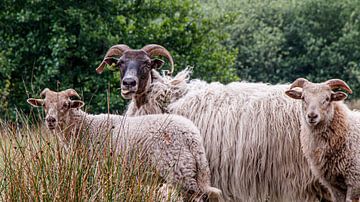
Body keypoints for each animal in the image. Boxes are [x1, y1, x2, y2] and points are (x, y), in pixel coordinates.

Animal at [26, 88, 222, 202]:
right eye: (44, 105)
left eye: (66, 105)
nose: (50, 120)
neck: (85, 128)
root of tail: (192, 136)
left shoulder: (97, 172)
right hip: (193, 171)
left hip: (179, 170)